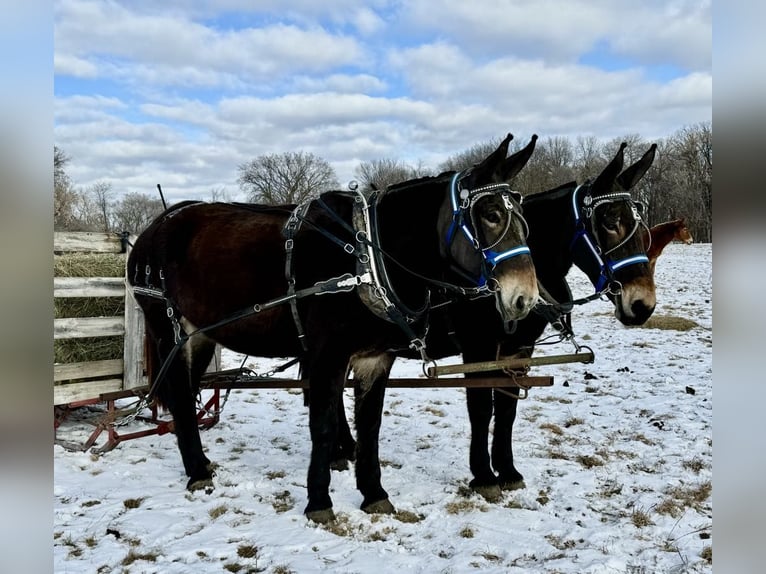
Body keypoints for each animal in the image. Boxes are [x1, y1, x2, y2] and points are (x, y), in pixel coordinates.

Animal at [129, 133, 540, 524]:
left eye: (523, 218)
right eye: (490, 214)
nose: (525, 298)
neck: (365, 257)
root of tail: (154, 227)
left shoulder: (375, 358)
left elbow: (370, 426)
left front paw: (374, 494)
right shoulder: (328, 355)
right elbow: (323, 425)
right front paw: (319, 501)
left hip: (199, 334)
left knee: (188, 389)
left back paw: (201, 462)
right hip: (167, 327)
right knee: (180, 394)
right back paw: (197, 473)